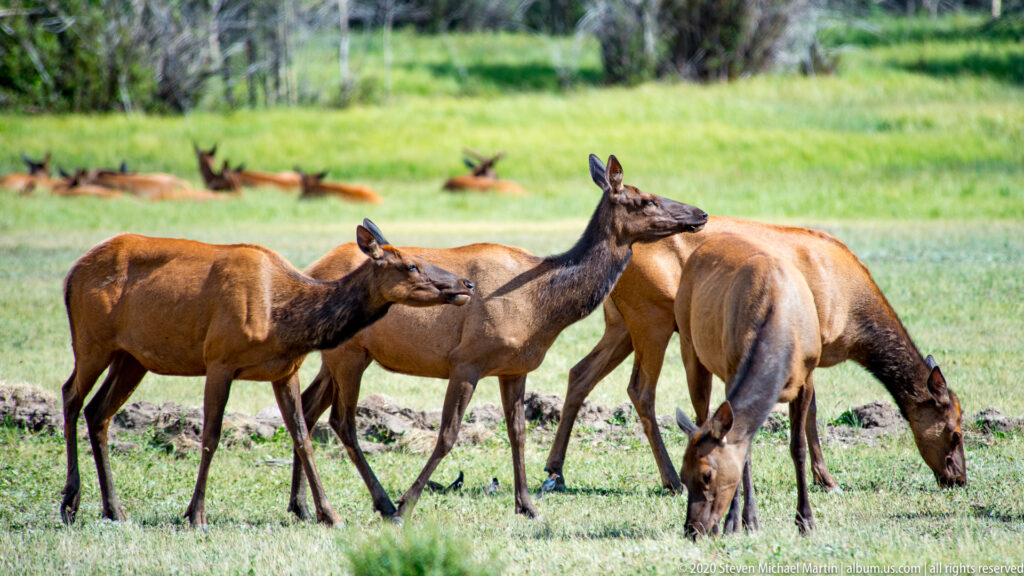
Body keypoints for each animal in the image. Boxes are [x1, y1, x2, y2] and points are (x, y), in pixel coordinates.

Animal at [59, 221, 475, 528]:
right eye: (410, 264)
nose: (466, 284)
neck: (285, 322)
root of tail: (71, 274)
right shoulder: (219, 359)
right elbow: (211, 436)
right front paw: (196, 514)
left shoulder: (284, 369)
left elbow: (303, 436)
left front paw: (330, 514)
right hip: (91, 340)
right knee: (70, 396)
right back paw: (70, 504)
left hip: (132, 357)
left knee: (98, 412)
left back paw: (114, 509)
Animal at [285, 154, 707, 522]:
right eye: (646, 199)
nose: (700, 213)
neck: (543, 306)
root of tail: (311, 269)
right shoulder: (466, 360)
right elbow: (448, 435)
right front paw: (408, 503)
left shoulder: (515, 367)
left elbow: (518, 433)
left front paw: (527, 505)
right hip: (349, 354)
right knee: (341, 422)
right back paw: (381, 503)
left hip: (338, 356)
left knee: (307, 408)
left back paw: (302, 506)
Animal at [543, 216, 966, 509]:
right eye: (955, 432)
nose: (959, 477)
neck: (853, 318)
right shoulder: (813, 348)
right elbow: (812, 418)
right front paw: (827, 479)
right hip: (654, 317)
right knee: (641, 390)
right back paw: (671, 479)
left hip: (619, 323)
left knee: (579, 373)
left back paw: (554, 471)